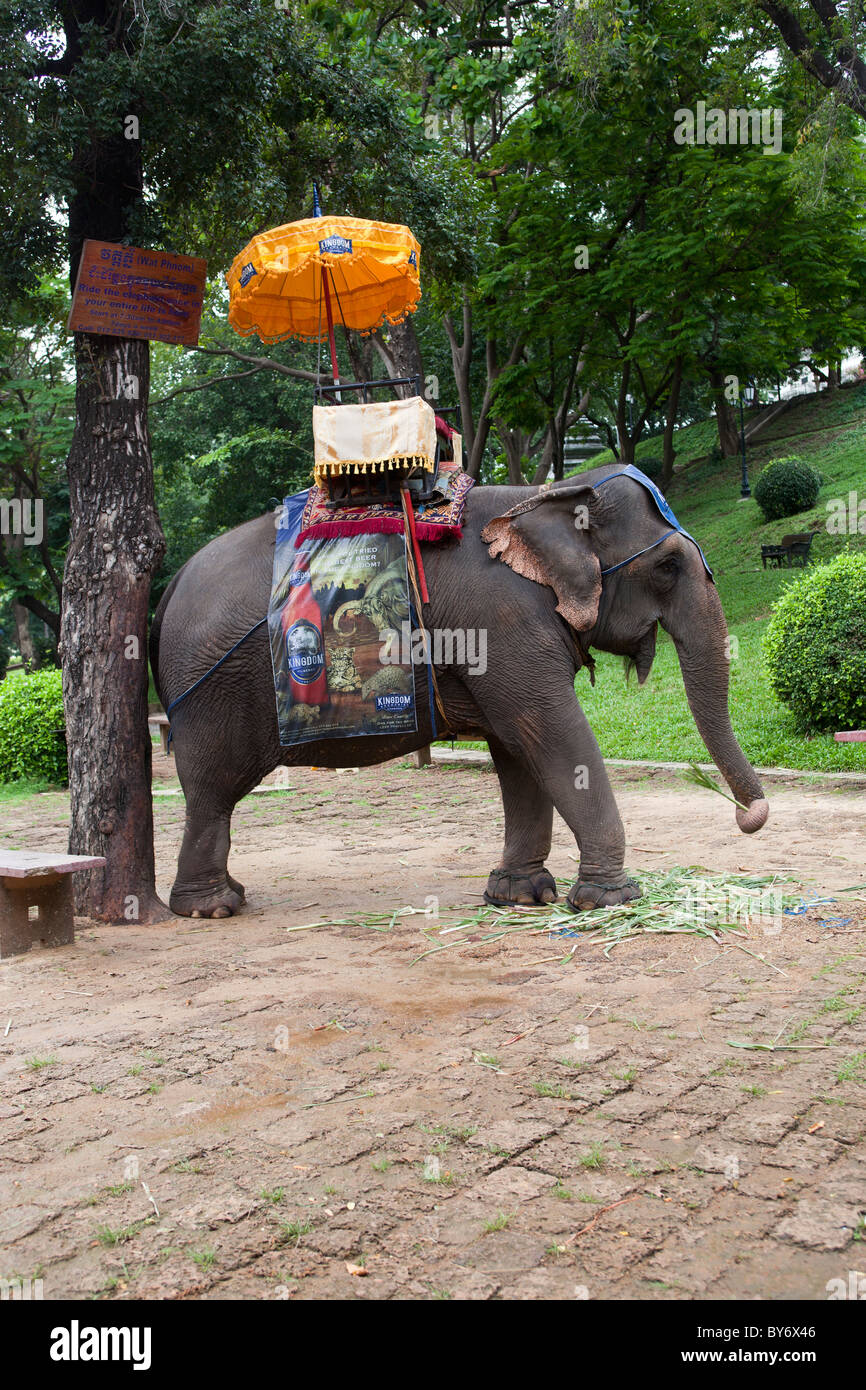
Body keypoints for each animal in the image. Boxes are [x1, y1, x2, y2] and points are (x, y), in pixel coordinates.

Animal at [152, 472, 767, 917]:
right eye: (668, 565)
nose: (750, 818)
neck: (543, 496)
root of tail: (169, 588)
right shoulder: (506, 624)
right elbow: (550, 733)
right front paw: (612, 899)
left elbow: (518, 750)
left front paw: (520, 895)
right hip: (212, 694)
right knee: (211, 791)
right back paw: (212, 908)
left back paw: (225, 896)